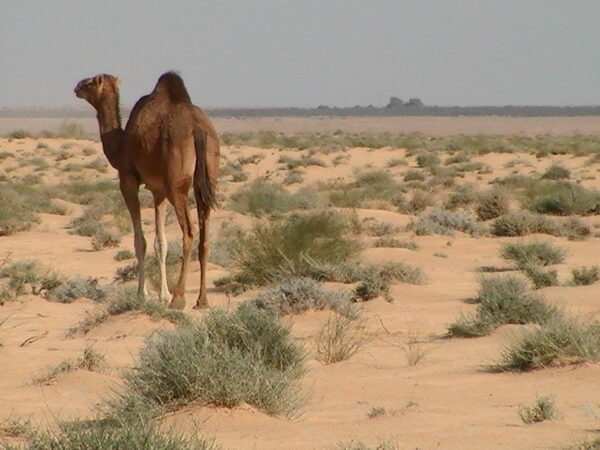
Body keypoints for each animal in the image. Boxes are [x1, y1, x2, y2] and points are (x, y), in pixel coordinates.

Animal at [74, 73, 220, 310]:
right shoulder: (158, 190)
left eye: (89, 83)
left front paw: (143, 294)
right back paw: (201, 300)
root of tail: (198, 128)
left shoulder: (128, 179)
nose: (76, 87)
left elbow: (139, 241)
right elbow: (160, 243)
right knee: (204, 236)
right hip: (207, 179)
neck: (120, 146)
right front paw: (163, 295)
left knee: (189, 232)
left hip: (176, 186)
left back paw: (179, 299)